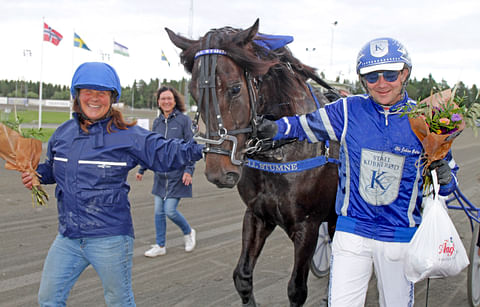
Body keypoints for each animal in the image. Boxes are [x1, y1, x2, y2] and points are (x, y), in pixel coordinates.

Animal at [167, 19, 340, 307]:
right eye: (192, 91)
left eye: (236, 88)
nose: (218, 173)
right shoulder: (257, 215)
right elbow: (242, 277)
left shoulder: (308, 226)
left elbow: (296, 289)